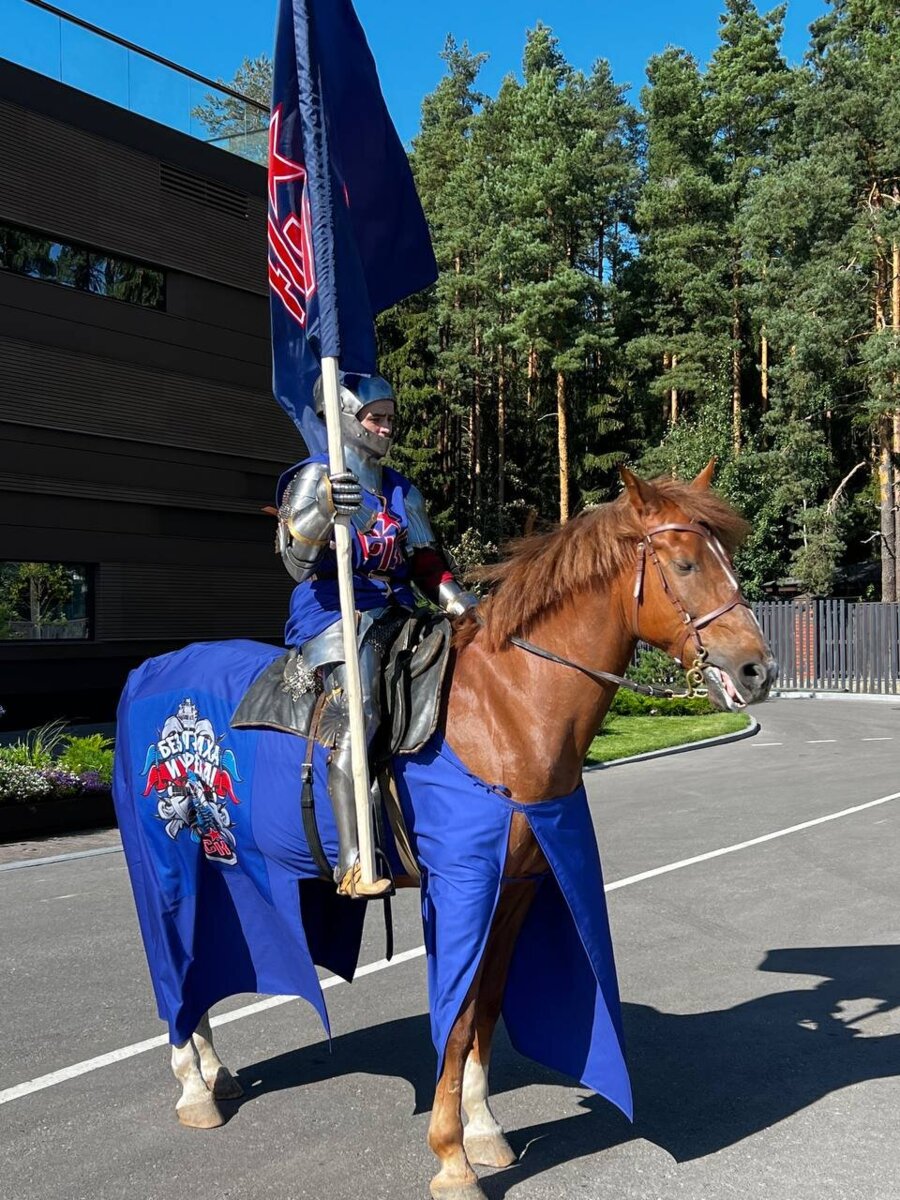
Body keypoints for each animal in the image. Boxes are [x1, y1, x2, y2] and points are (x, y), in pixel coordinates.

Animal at [137, 465, 772, 1200]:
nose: (758, 671)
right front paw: (451, 1157)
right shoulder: (464, 888)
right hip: (167, 863)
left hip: (221, 869)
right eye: (686, 563)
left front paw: (485, 1131)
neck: (507, 707)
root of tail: (150, 672)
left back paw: (215, 1073)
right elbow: (461, 1012)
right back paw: (193, 1088)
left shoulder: (517, 888)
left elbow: (487, 1009)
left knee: (201, 964)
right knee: (173, 960)